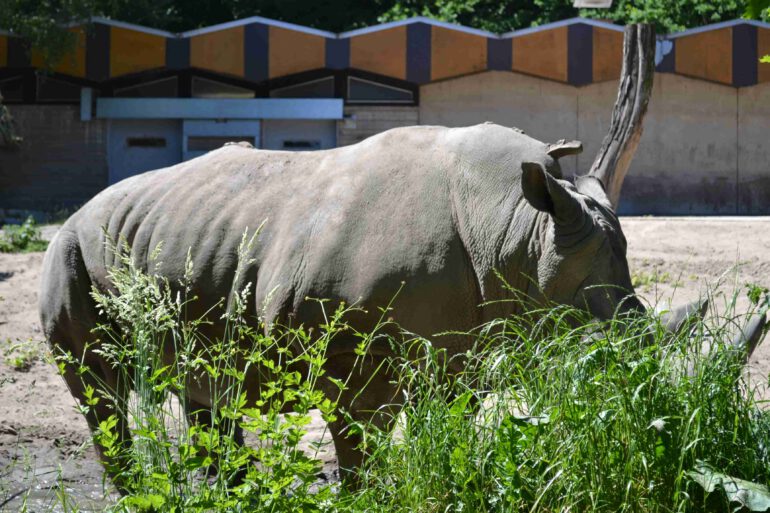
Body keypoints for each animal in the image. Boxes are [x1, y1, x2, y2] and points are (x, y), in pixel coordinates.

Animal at [40, 122, 653, 488]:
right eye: (582, 326)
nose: (630, 384)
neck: (513, 228)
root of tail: (77, 211)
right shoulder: (351, 360)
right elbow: (362, 446)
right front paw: (368, 495)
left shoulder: (468, 350)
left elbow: (449, 427)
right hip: (67, 249)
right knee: (101, 390)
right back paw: (133, 489)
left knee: (206, 386)